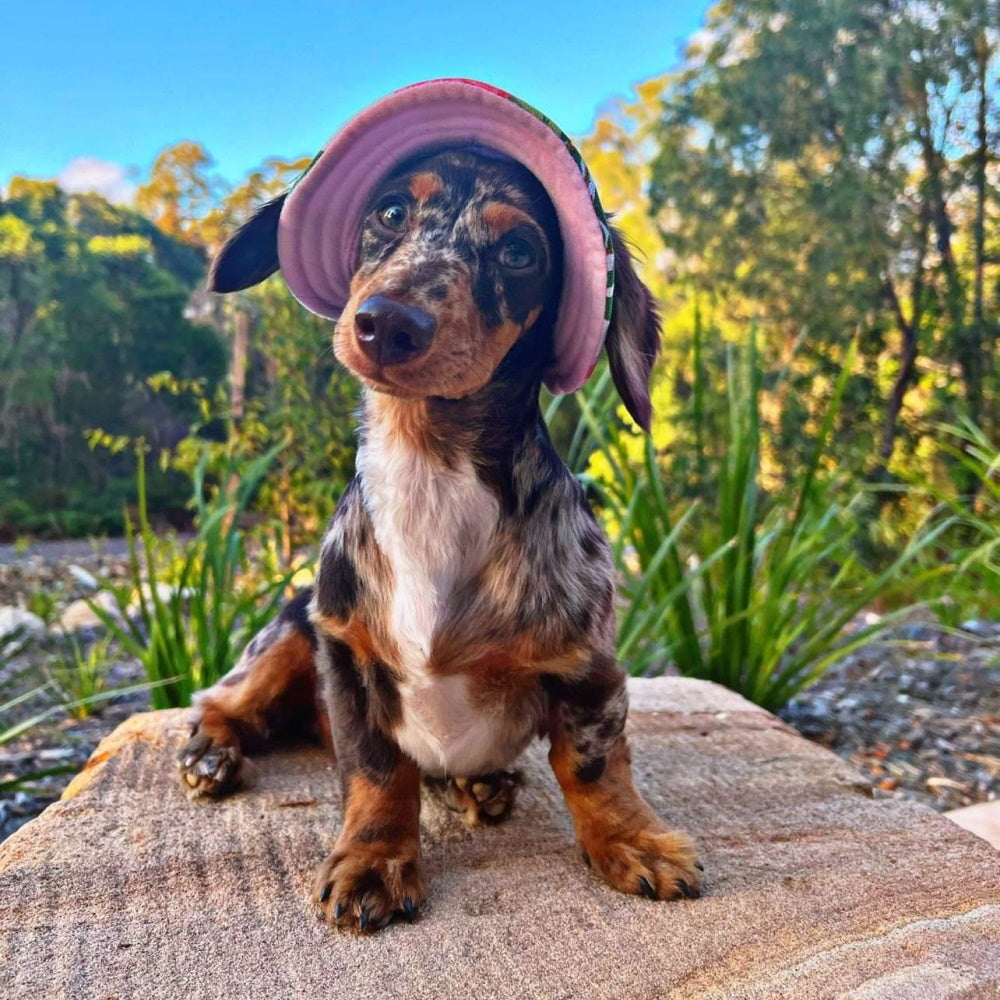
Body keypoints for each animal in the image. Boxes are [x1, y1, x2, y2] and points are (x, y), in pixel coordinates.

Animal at [176, 107, 700, 928]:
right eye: (390, 213)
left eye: (519, 251)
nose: (387, 323)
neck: (430, 465)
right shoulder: (345, 651)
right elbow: (375, 769)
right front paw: (373, 860)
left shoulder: (588, 666)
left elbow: (592, 763)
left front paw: (632, 840)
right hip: (290, 629)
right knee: (223, 705)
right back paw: (212, 754)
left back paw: (479, 784)